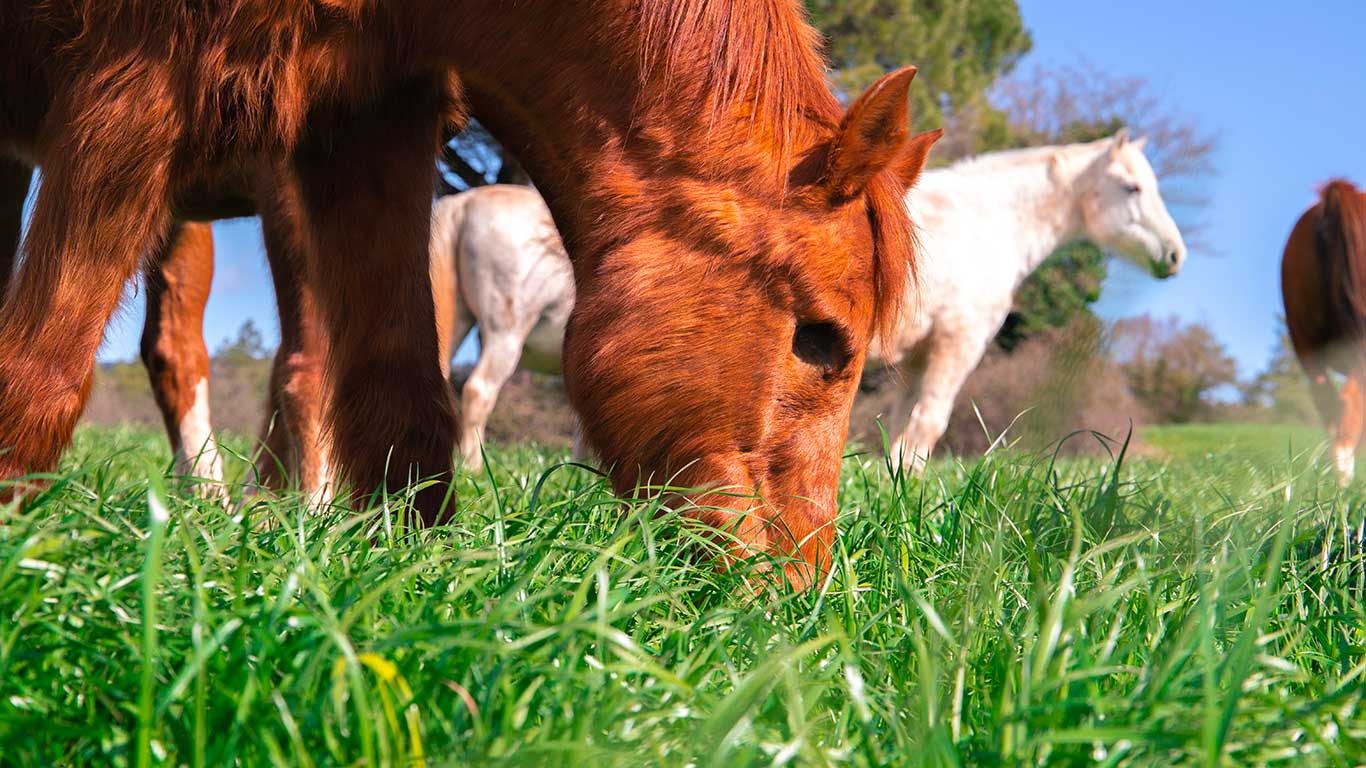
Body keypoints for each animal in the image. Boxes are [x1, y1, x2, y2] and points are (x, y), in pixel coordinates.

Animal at [874, 129, 1185, 470]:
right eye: (1133, 188)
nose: (1175, 254)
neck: (985, 222)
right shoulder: (959, 340)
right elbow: (929, 421)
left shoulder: (918, 355)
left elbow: (901, 424)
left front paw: (896, 476)